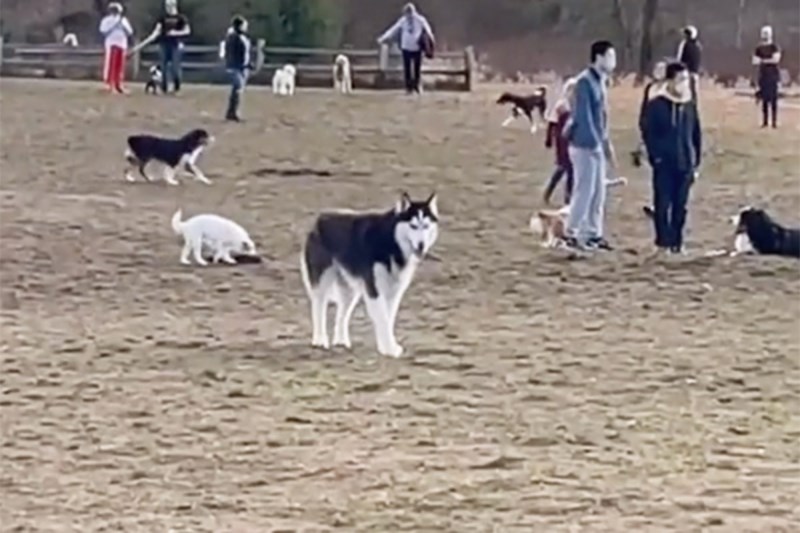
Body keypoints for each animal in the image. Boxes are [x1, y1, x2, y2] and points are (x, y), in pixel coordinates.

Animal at [298, 192, 438, 358]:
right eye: (413, 226)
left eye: (426, 226)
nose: (421, 245)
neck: (392, 241)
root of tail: (320, 217)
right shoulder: (374, 289)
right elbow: (383, 319)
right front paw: (389, 349)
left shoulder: (393, 291)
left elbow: (388, 319)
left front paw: (386, 347)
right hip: (322, 280)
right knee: (319, 307)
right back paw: (320, 340)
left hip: (349, 290)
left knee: (342, 314)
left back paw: (341, 341)